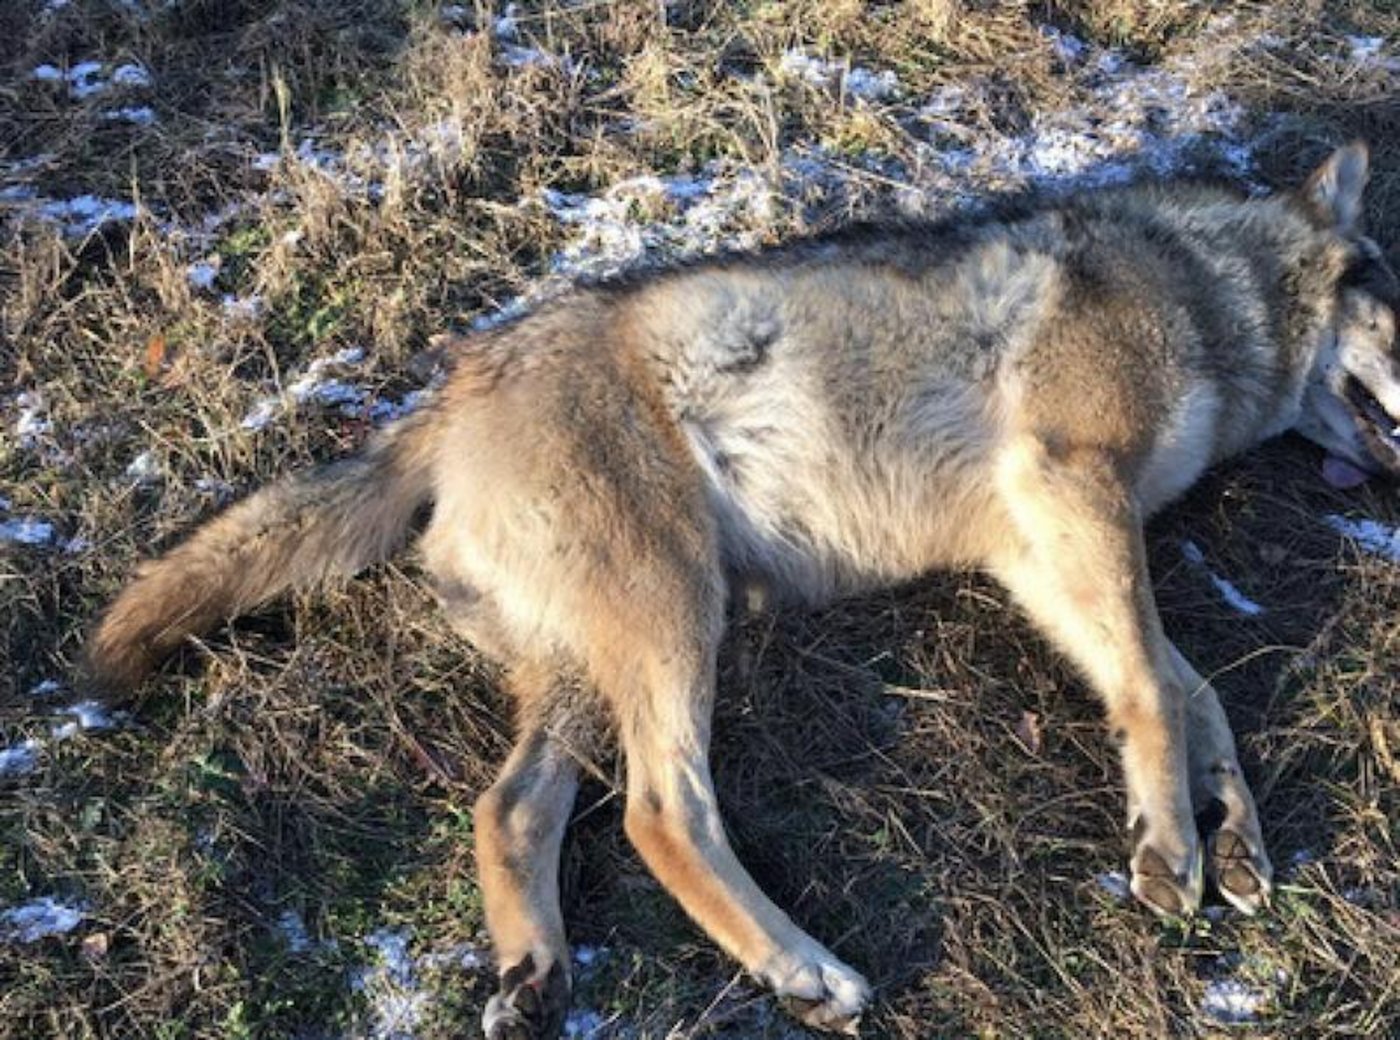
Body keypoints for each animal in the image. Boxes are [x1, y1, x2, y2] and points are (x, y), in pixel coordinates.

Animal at [88, 144, 1400, 1037]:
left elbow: (1194, 690)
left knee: (507, 811)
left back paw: (535, 980)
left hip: (588, 672)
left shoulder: (1041, 549)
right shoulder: (1071, 493)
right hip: (678, 614)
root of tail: (449, 398)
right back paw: (804, 972)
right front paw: (1169, 849)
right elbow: (1152, 688)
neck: (1201, 287)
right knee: (658, 812)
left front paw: (1238, 841)